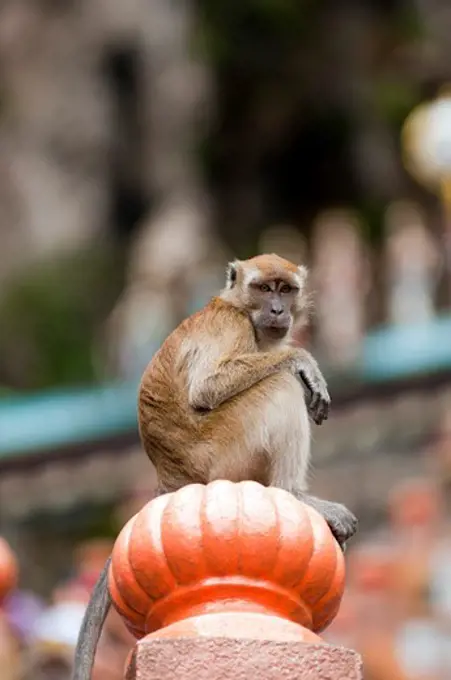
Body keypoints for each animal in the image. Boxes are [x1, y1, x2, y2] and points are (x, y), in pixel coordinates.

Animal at [73, 252, 356, 676]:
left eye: (286, 289)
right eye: (264, 288)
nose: (277, 310)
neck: (238, 307)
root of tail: (171, 478)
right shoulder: (232, 327)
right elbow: (208, 386)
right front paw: (301, 360)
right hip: (223, 453)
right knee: (281, 386)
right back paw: (294, 493)